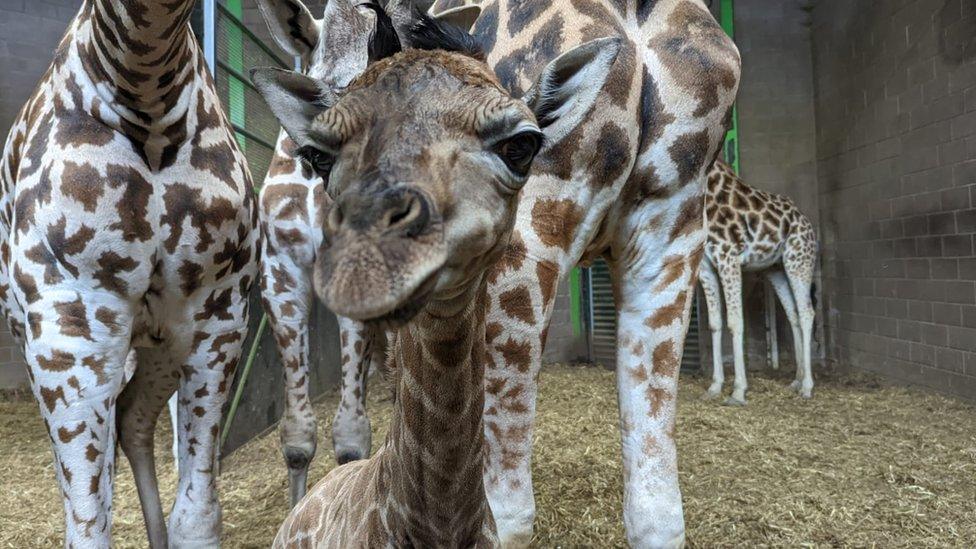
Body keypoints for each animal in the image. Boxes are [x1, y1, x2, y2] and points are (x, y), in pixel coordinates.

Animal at [0, 0, 260, 544]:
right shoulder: (69, 329)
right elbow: (87, 526)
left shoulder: (219, 316)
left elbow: (197, 517)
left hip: (159, 339)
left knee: (131, 418)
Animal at [696, 158, 820, 402]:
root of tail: (806, 221)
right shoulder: (706, 268)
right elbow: (714, 324)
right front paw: (714, 387)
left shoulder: (729, 258)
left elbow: (735, 322)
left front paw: (738, 390)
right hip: (776, 270)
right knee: (793, 314)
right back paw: (797, 380)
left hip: (799, 261)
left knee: (807, 312)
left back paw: (807, 386)